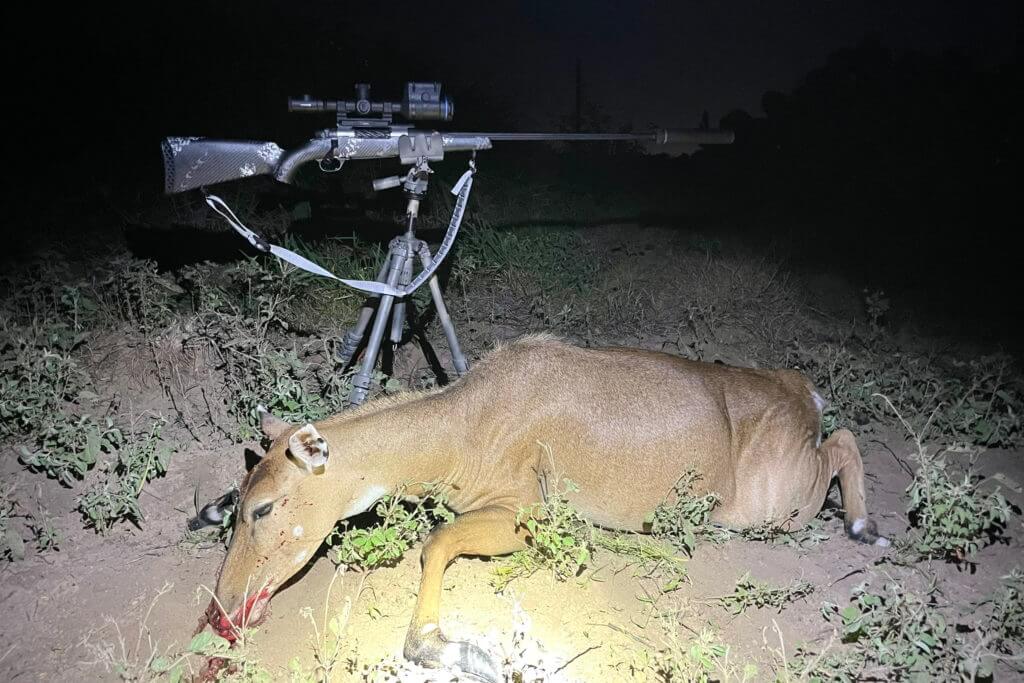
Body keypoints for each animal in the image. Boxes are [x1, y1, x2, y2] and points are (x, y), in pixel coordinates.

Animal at [199, 334, 888, 681]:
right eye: (240, 506)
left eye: (264, 510)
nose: (222, 611)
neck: (462, 425)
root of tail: (803, 391)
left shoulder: (525, 515)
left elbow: (435, 543)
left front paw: (457, 650)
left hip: (775, 503)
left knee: (845, 440)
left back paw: (866, 528)